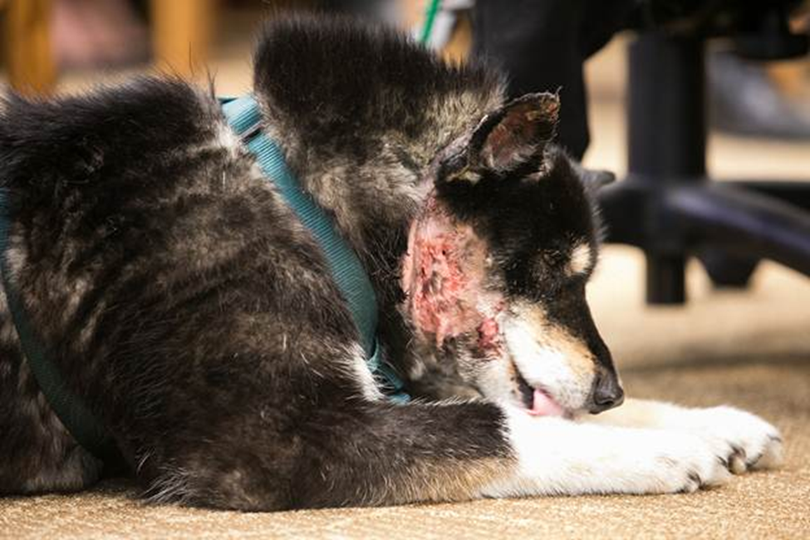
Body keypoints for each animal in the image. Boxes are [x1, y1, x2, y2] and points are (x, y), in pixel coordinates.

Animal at [1, 14, 784, 508]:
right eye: (557, 270)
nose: (612, 394)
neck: (301, 198)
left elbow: (524, 413)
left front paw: (707, 420)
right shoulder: (276, 439)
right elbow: (501, 427)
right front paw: (663, 447)